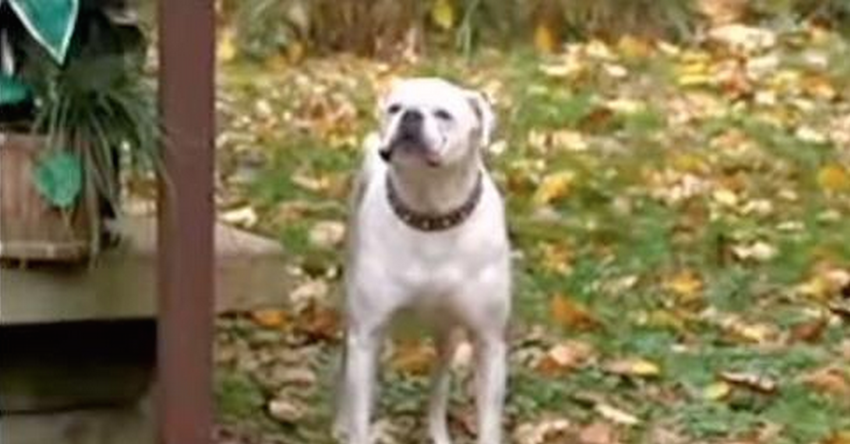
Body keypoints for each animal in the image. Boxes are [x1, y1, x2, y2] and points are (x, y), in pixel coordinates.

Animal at [334, 78, 510, 442]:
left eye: (444, 114)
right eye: (395, 108)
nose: (411, 115)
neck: (430, 213)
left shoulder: (488, 341)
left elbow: (488, 422)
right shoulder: (367, 333)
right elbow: (360, 417)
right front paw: (352, 427)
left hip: (449, 334)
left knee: (438, 385)